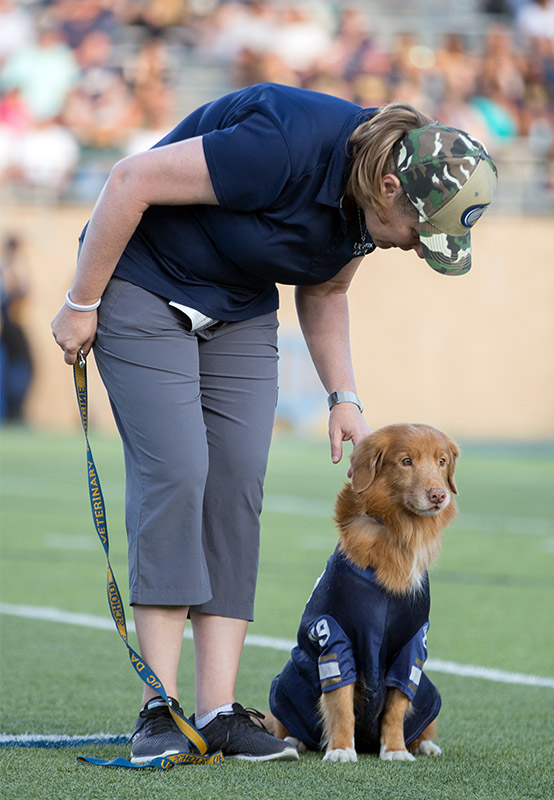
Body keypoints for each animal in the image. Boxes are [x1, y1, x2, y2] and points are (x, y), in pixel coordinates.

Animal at [266, 422, 458, 760]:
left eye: (441, 461)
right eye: (406, 461)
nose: (439, 494)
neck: (398, 532)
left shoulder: (412, 644)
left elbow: (397, 703)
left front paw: (395, 749)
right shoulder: (334, 635)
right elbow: (340, 702)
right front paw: (342, 749)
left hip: (428, 691)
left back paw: (424, 744)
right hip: (289, 679)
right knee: (282, 722)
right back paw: (292, 740)